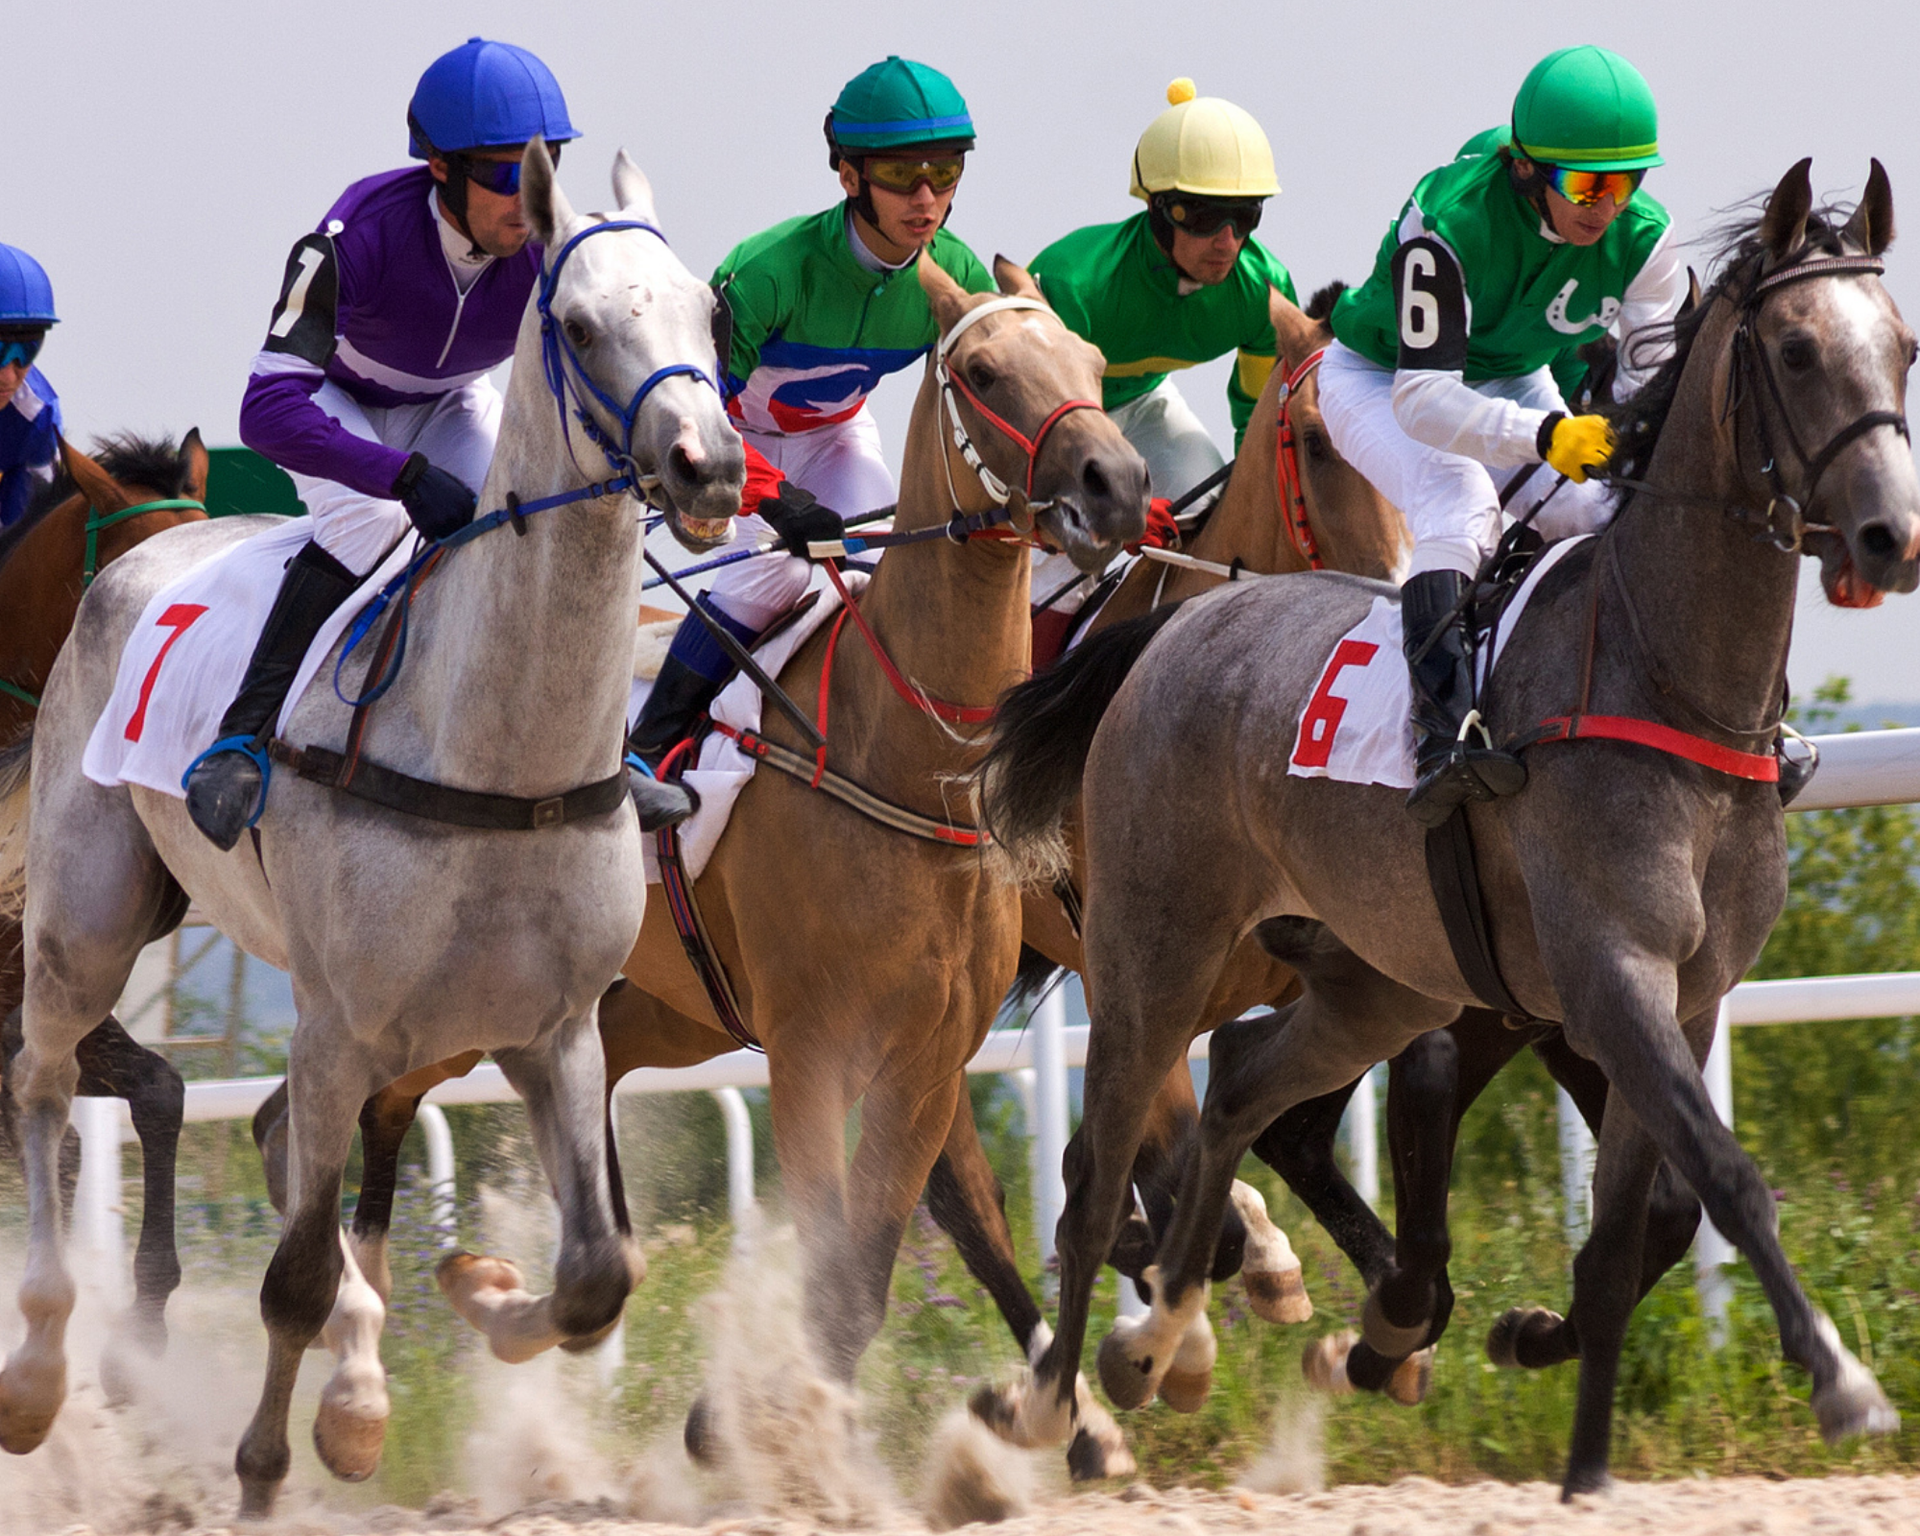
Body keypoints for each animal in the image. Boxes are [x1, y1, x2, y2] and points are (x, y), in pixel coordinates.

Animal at [0, 141, 743, 1517]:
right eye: (575, 324)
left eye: (708, 317)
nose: (709, 465)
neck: (497, 755)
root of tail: (137, 562)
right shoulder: (340, 1024)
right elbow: (291, 1276)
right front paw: (259, 1473)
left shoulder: (555, 1031)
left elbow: (598, 1277)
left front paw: (478, 1304)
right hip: (85, 923)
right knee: (40, 1081)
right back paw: (38, 1373)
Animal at [975, 160, 1915, 1497]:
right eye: (1793, 349)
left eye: (1902, 346)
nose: (1889, 535)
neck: (1668, 681)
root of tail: (1177, 626)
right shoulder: (1611, 976)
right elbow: (1726, 1180)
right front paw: (1841, 1378)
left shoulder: (1676, 999)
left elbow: (1632, 1237)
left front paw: (1575, 1448)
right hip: (1151, 958)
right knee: (1097, 1176)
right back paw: (1063, 1400)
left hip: (1381, 980)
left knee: (1243, 1089)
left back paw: (1165, 1338)